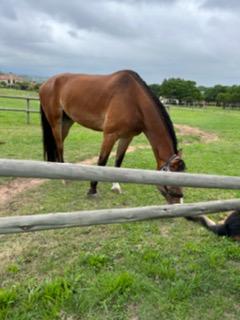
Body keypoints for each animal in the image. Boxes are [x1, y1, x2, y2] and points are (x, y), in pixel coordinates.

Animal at [39, 71, 186, 204]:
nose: (179, 203)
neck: (134, 100)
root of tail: (46, 83)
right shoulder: (110, 135)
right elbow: (102, 161)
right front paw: (92, 190)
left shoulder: (127, 137)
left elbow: (118, 161)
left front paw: (116, 186)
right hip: (56, 122)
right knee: (59, 146)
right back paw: (64, 178)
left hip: (67, 122)